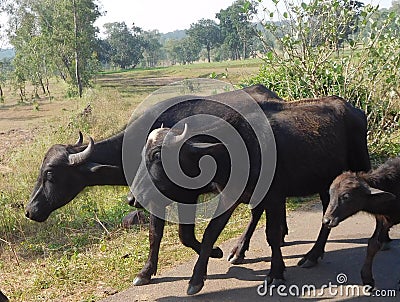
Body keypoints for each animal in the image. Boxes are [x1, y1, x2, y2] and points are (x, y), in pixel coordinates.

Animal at [132, 95, 372, 294]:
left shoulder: (274, 196)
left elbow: (272, 234)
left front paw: (275, 272)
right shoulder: (229, 195)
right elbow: (210, 232)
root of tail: (355, 109)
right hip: (324, 183)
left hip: (361, 167)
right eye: (142, 154)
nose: (132, 198)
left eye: (157, 155)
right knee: (326, 216)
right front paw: (197, 279)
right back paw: (308, 254)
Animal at [324, 157, 400, 290]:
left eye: (346, 196)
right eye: (331, 194)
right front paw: (367, 279)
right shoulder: (382, 219)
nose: (327, 220)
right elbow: (373, 244)